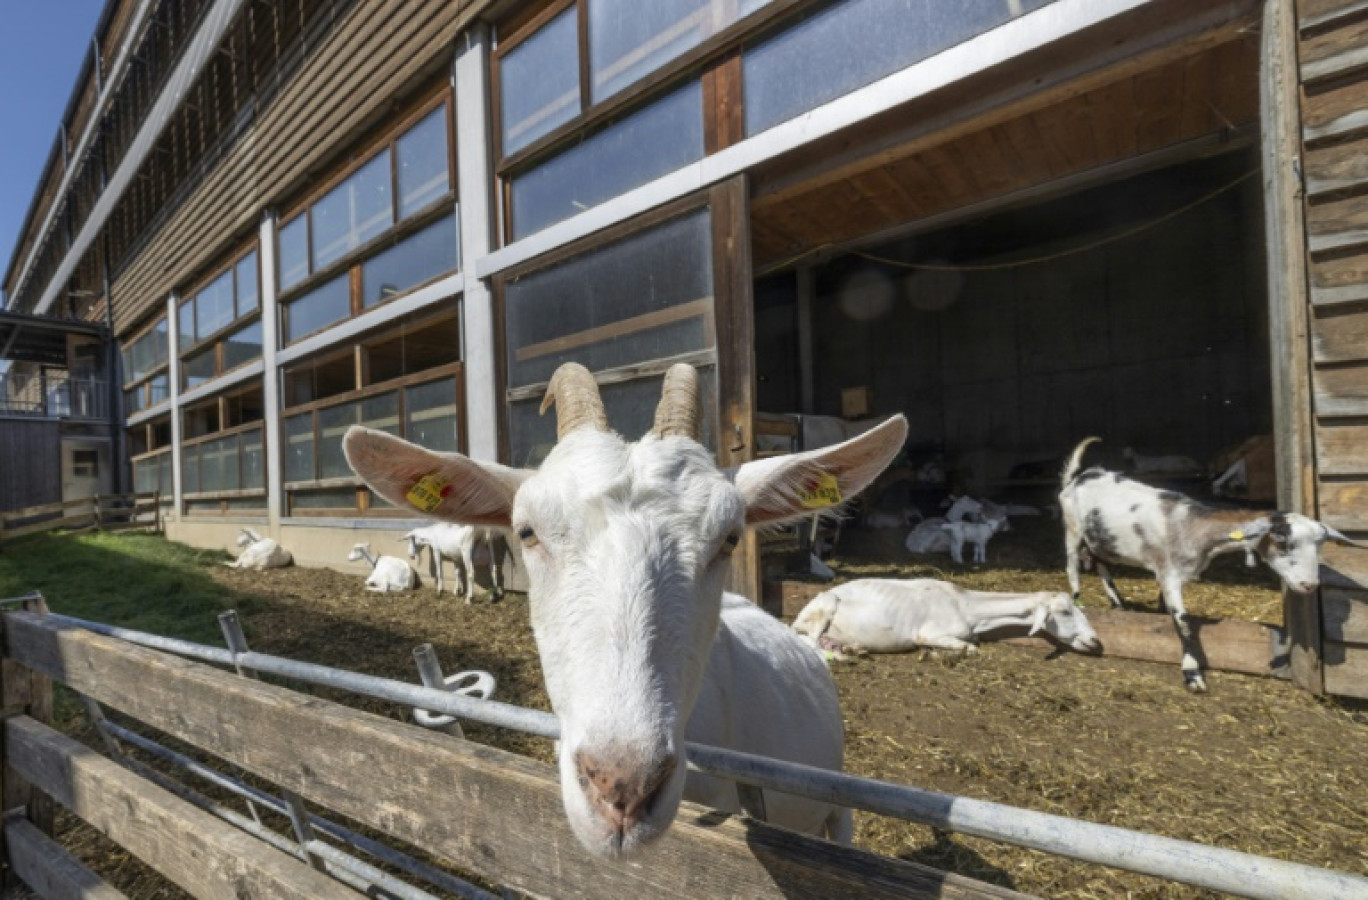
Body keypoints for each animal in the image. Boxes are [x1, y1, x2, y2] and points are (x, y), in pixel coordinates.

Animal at [793, 577, 1099, 656]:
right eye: (1064, 612)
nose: (1096, 642)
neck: (965, 605)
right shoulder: (928, 633)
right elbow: (971, 649)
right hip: (825, 606)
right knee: (810, 642)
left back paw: (852, 648)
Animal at [1056, 437, 1357, 689]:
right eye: (1282, 541)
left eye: (1319, 544)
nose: (1309, 585)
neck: (1192, 526)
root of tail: (1079, 477)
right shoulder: (1169, 574)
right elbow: (1185, 623)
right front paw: (1192, 674)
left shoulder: (1171, 574)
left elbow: (1167, 609)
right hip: (1072, 531)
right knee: (1072, 567)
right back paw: (1080, 600)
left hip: (1098, 539)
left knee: (1100, 563)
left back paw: (1118, 603)